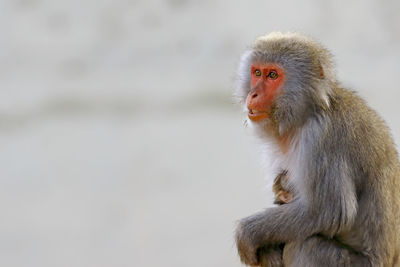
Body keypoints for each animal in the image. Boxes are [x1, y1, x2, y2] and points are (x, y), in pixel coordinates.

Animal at [234, 33, 400, 267]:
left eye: (272, 75)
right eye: (257, 72)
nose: (253, 94)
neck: (307, 113)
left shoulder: (322, 138)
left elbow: (330, 211)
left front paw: (247, 235)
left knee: (305, 245)